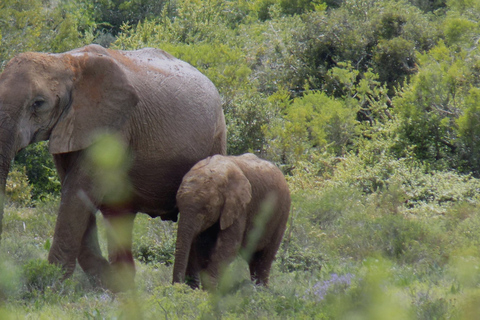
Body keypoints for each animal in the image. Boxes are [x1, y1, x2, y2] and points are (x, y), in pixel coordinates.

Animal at [0, 43, 226, 290]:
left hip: (216, 138)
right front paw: (109, 282)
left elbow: (78, 189)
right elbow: (76, 191)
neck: (65, 60)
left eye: (38, 103)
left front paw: (50, 286)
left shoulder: (113, 125)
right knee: (120, 214)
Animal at [173, 153, 292, 290]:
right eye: (178, 206)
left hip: (281, 213)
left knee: (265, 256)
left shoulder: (241, 207)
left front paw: (209, 289)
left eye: (206, 209)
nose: (179, 286)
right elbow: (202, 245)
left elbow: (229, 245)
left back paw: (262, 291)